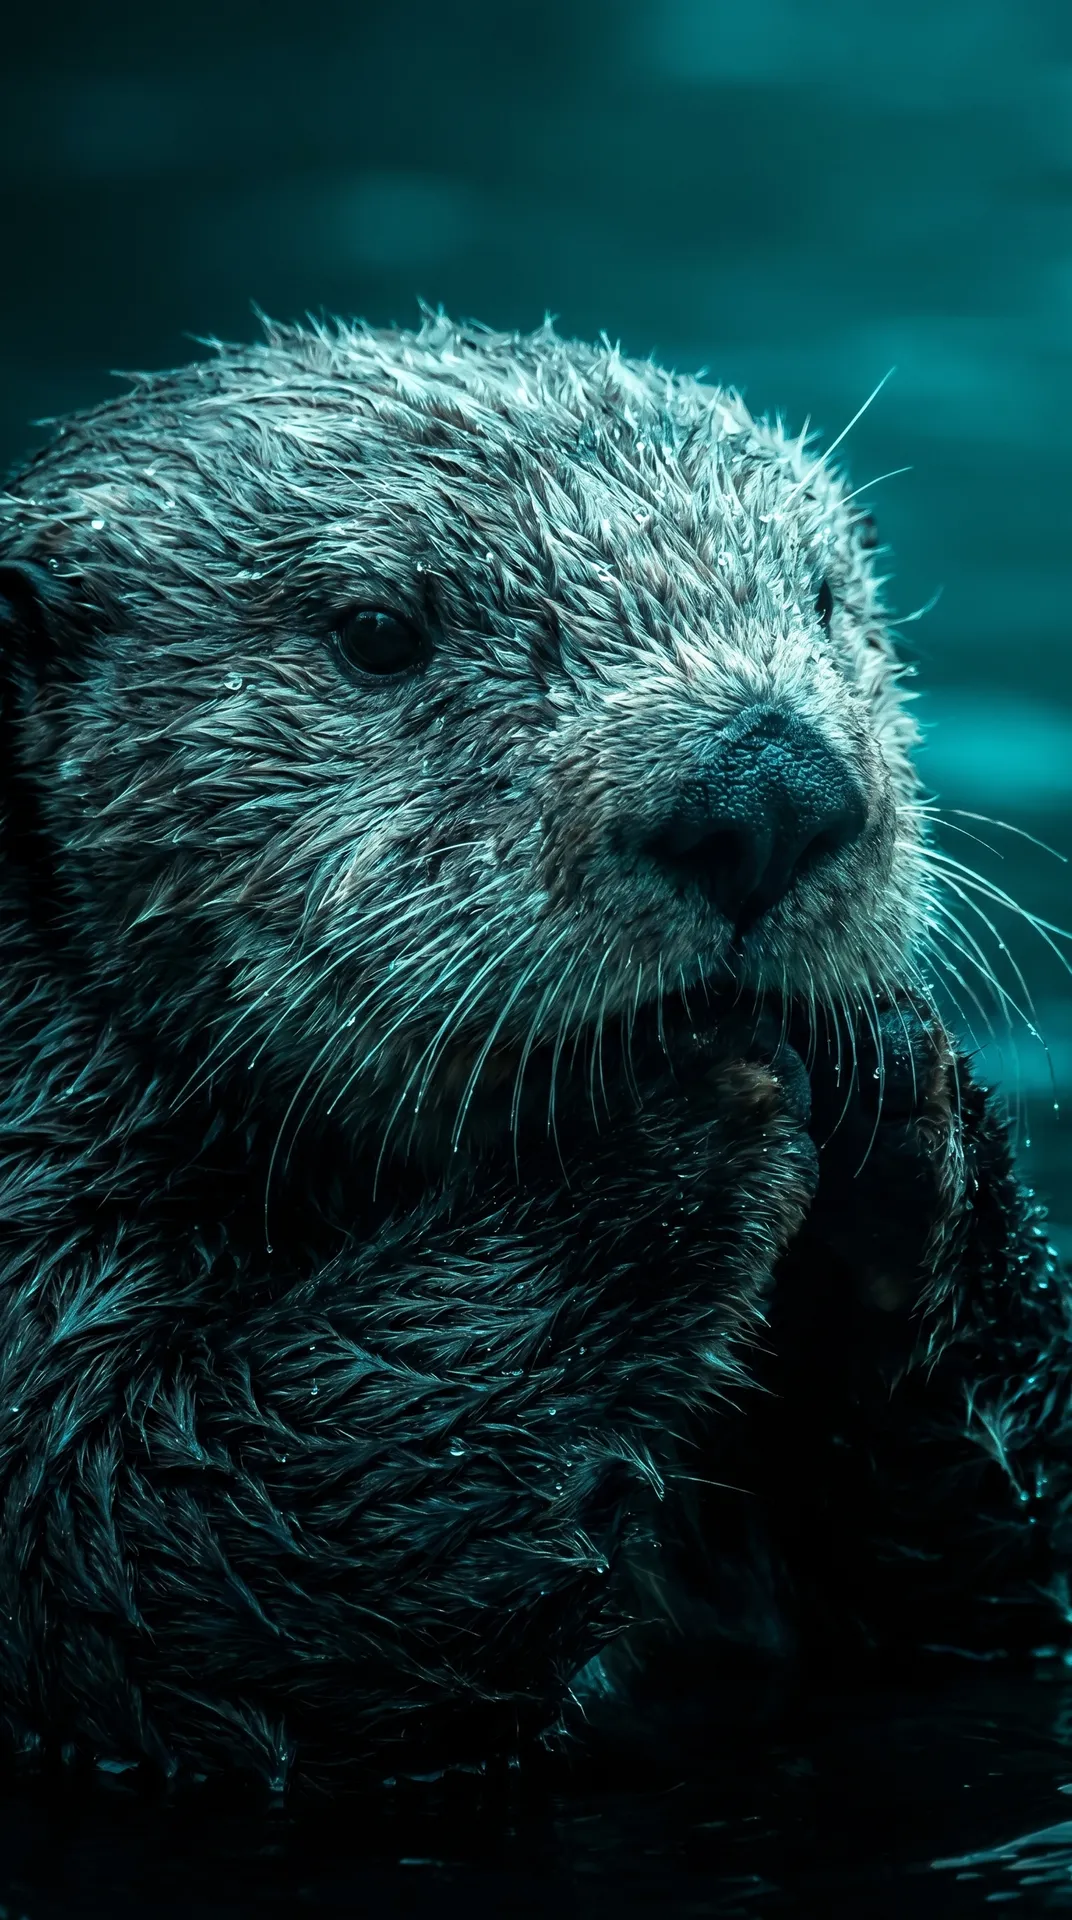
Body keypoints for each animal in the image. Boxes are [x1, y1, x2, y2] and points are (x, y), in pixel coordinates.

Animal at [0, 312, 1068, 1791]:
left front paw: (897, 1087)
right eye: (378, 635)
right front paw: (686, 1124)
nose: (770, 788)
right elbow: (153, 1538)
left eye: (823, 602)